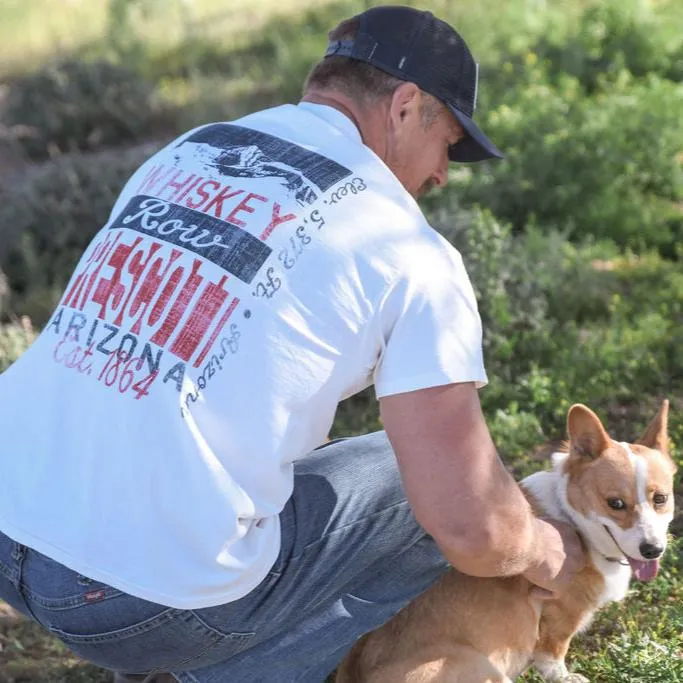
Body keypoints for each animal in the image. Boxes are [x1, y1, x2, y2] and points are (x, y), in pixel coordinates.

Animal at [334, 404, 676, 680]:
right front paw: (566, 677)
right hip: (487, 670)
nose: (653, 550)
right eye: (615, 503)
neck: (573, 519)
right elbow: (553, 655)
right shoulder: (561, 616)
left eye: (661, 499)